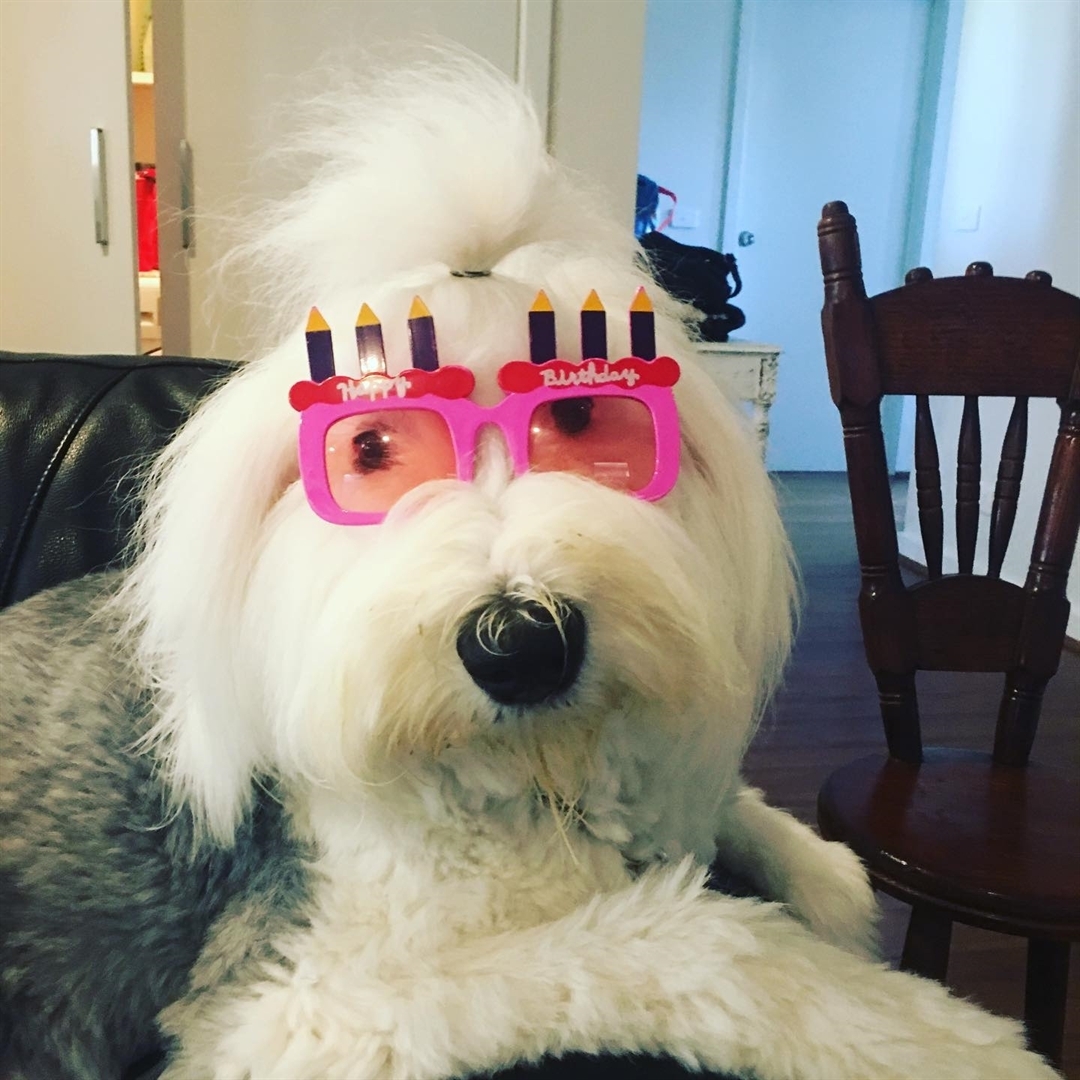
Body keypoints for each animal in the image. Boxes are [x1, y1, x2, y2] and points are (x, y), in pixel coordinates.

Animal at [0, 56, 1062, 1080]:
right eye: (374, 449)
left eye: (584, 418)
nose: (520, 643)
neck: (533, 779)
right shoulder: (291, 1008)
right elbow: (685, 941)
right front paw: (946, 1037)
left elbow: (736, 812)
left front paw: (832, 881)